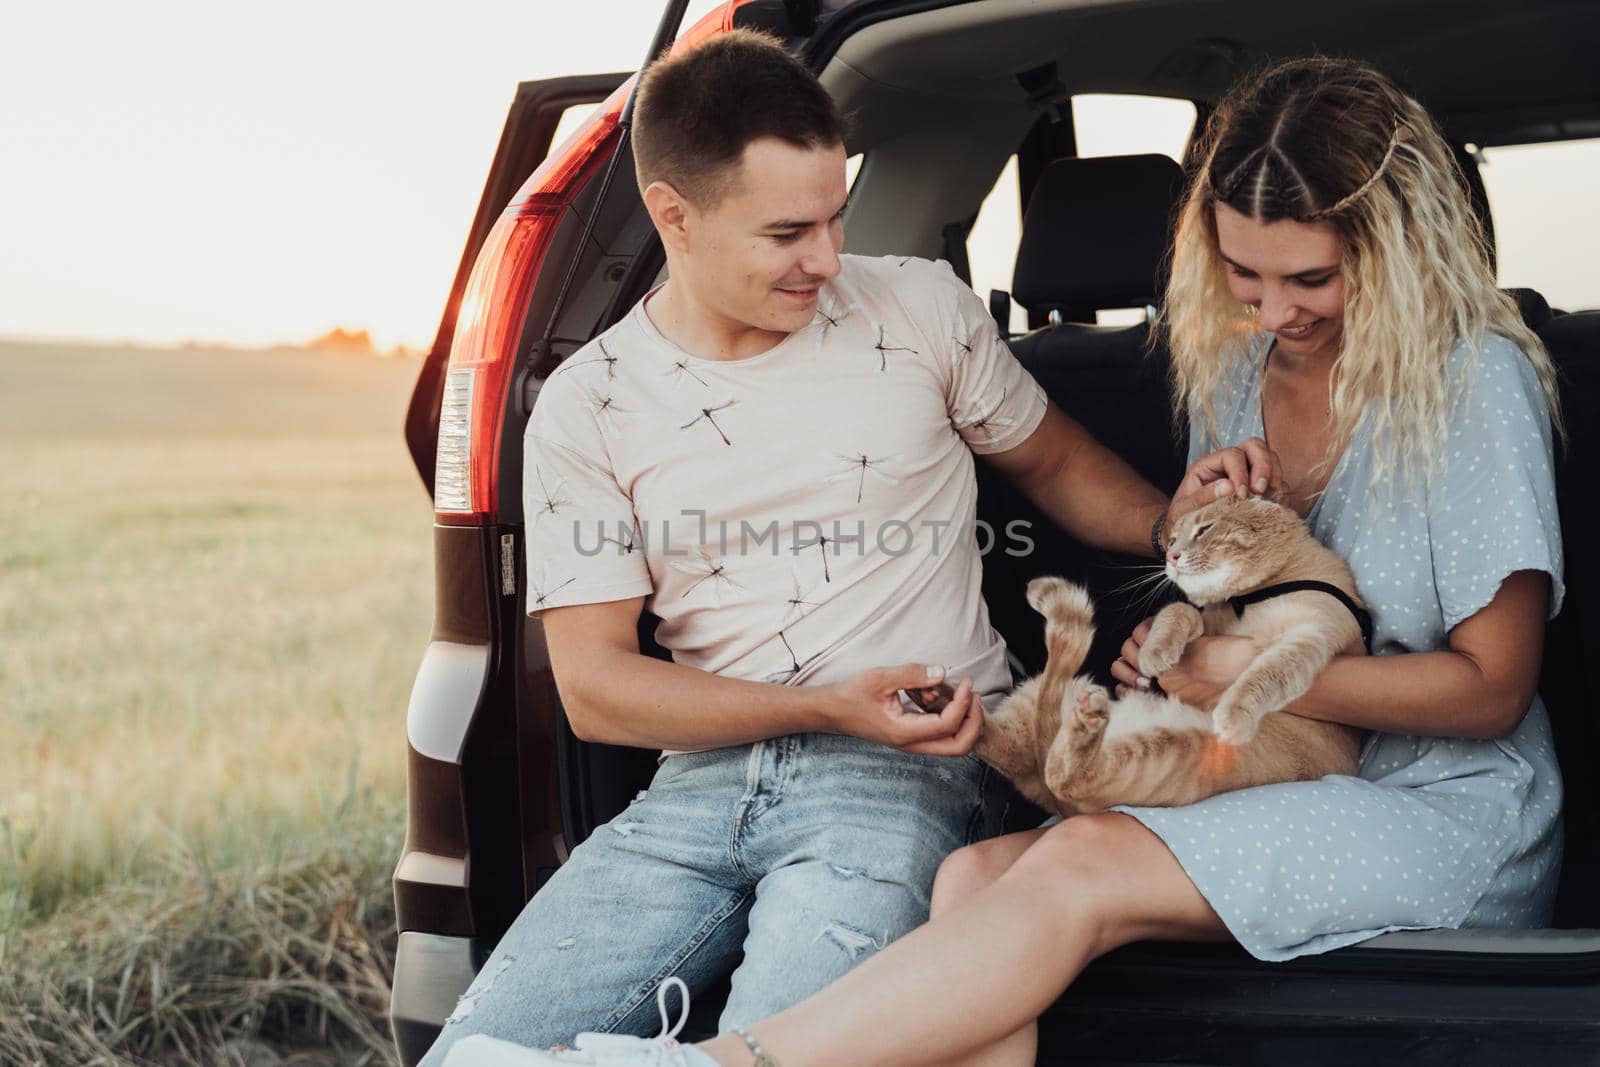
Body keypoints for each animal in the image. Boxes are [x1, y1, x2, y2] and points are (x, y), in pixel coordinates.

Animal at [972, 495, 1363, 819]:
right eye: (1173, 540)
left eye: (1204, 529)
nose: (1171, 557)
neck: (1255, 595)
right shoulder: (1205, 623)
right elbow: (1178, 610)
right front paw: (1156, 651)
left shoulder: (1311, 635)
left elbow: (1267, 673)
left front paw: (1234, 716)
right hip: (1036, 705)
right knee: (1005, 746)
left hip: (1164, 752)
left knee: (1062, 774)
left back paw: (1084, 722)